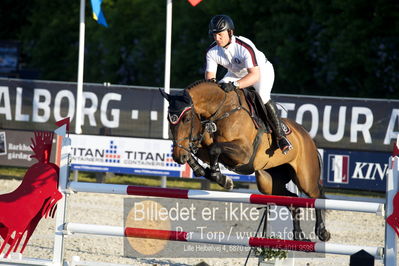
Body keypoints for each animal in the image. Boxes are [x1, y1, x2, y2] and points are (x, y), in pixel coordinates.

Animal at [159, 79, 332, 243]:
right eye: (168, 119)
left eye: (187, 119)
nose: (177, 156)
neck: (222, 111)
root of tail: (308, 136)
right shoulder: (202, 148)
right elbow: (199, 153)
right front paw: (205, 171)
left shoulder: (243, 153)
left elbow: (215, 149)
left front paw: (220, 177)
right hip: (268, 182)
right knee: (293, 200)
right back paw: (298, 235)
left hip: (305, 178)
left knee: (316, 195)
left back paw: (322, 232)